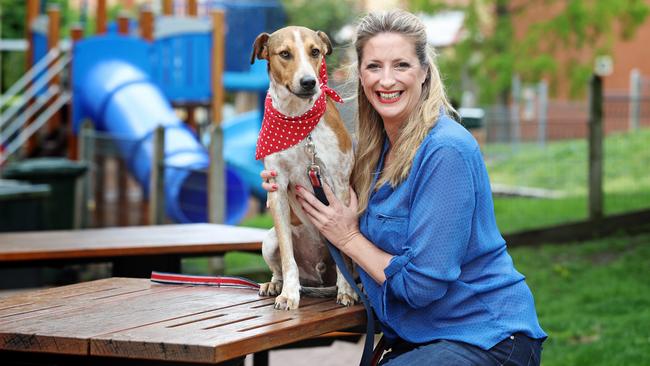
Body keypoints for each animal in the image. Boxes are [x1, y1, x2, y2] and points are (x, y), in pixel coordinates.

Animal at [251, 27, 356, 310]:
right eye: (285, 54)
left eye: (315, 51)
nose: (309, 82)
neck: (298, 119)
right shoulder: (276, 187)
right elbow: (288, 259)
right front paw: (288, 293)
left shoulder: (340, 184)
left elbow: (345, 253)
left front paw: (347, 291)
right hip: (269, 241)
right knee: (279, 262)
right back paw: (274, 284)